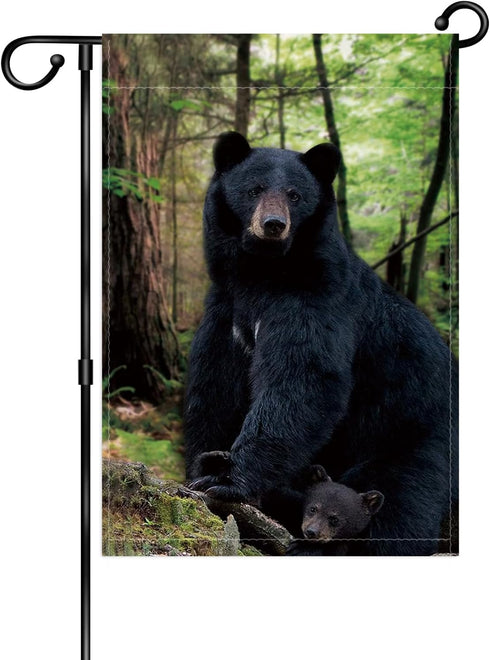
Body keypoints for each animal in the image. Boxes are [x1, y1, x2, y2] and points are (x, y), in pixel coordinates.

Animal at [184, 131, 458, 556]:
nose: (274, 224)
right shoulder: (226, 308)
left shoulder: (318, 295)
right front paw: (203, 463)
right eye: (254, 188)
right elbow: (214, 384)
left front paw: (228, 478)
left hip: (413, 433)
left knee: (402, 505)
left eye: (295, 194)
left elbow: (305, 378)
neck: (262, 272)